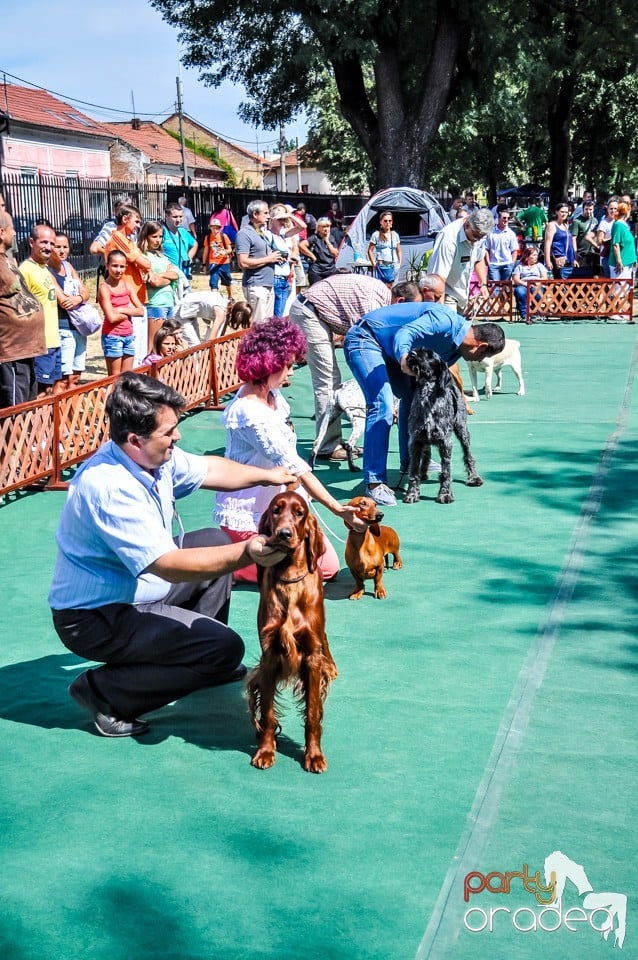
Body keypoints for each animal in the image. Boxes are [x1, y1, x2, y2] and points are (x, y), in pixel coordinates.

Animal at [246, 492, 340, 776]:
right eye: (276, 510)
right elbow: (267, 713)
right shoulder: (269, 656)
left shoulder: (311, 657)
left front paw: (314, 755)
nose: (284, 534)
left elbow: (312, 714)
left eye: (300, 513)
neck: (289, 580)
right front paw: (266, 751)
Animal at [404, 348, 484, 506]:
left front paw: (445, 494)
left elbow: (446, 471)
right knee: (426, 453)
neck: (427, 397)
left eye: (429, 355)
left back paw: (474, 478)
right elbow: (413, 471)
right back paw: (424, 472)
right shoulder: (415, 440)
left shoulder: (445, 442)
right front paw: (412, 493)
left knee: (468, 455)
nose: (411, 354)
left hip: (462, 430)